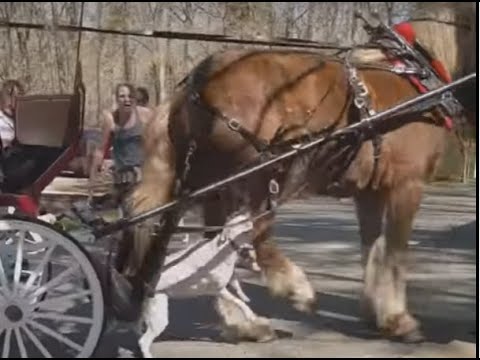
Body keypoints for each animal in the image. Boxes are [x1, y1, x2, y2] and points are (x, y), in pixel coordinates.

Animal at [122, 4, 474, 342]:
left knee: (217, 246)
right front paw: (398, 319)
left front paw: (375, 311)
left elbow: (372, 250)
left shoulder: (369, 192)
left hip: (212, 186)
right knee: (258, 235)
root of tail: (194, 87)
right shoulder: (407, 183)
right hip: (260, 174)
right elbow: (396, 254)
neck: (416, 76)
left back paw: (247, 324)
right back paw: (294, 288)